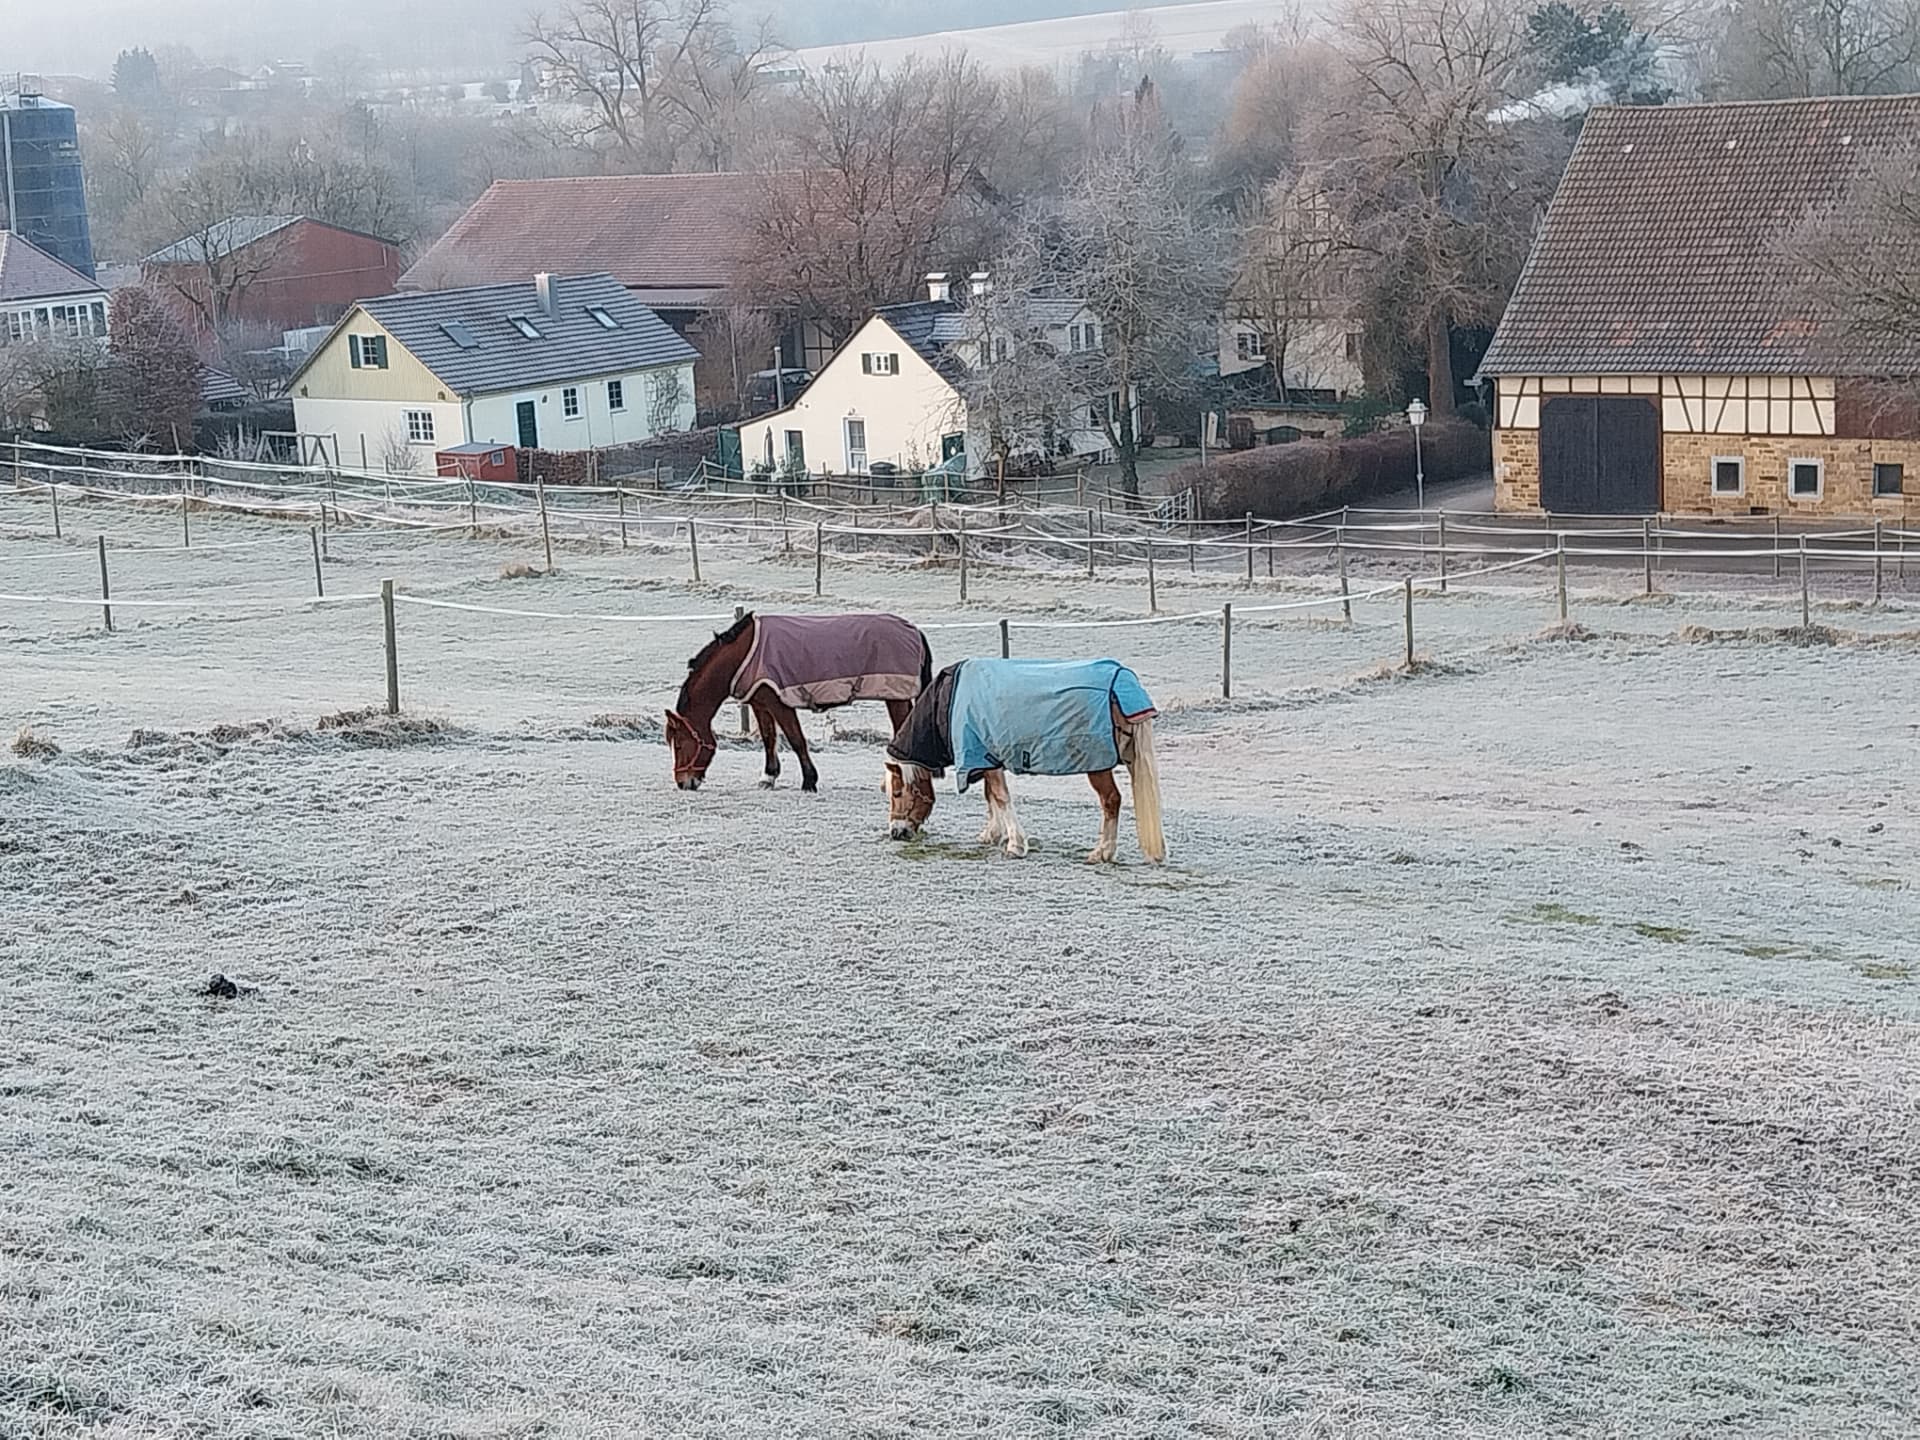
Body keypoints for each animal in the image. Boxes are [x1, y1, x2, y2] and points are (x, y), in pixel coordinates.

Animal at [667, 611, 932, 792]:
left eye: (678, 744)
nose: (683, 783)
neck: (742, 656)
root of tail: (915, 630)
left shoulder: (779, 704)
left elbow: (796, 740)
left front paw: (809, 781)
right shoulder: (760, 704)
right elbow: (769, 738)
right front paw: (768, 777)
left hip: (896, 698)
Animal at [883, 658, 1166, 864]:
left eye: (897, 793)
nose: (896, 833)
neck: (949, 703)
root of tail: (1121, 678)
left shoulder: (983, 756)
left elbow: (1000, 797)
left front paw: (1015, 844)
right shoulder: (988, 761)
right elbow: (991, 796)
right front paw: (992, 834)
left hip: (1098, 765)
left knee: (1111, 801)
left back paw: (1102, 852)